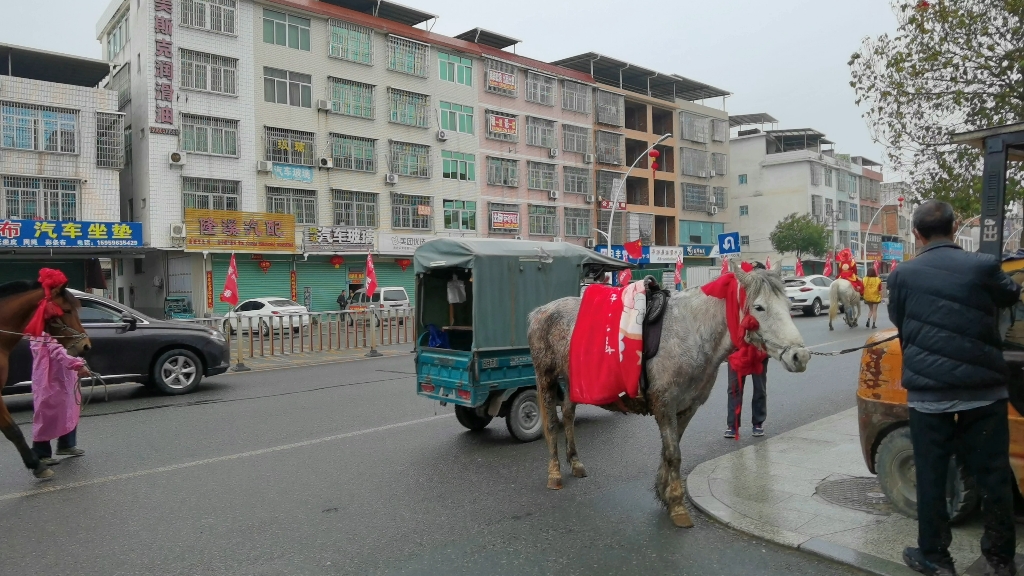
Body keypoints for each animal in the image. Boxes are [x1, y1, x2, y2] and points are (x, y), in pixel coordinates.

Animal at [528, 262, 806, 528]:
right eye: (759, 307)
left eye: (788, 304)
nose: (799, 356)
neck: (693, 333)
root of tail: (539, 311)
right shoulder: (664, 405)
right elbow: (674, 453)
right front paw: (678, 505)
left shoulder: (687, 407)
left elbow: (670, 450)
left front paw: (664, 492)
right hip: (546, 376)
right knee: (552, 424)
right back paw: (554, 473)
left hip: (574, 379)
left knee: (568, 415)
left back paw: (575, 462)